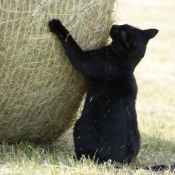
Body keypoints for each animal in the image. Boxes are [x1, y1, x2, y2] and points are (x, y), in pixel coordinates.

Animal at [48, 19, 159, 164]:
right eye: (122, 26)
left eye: (119, 30)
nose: (114, 25)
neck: (125, 64)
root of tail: (120, 162)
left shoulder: (84, 60)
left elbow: (70, 41)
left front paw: (57, 25)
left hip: (80, 127)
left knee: (84, 155)